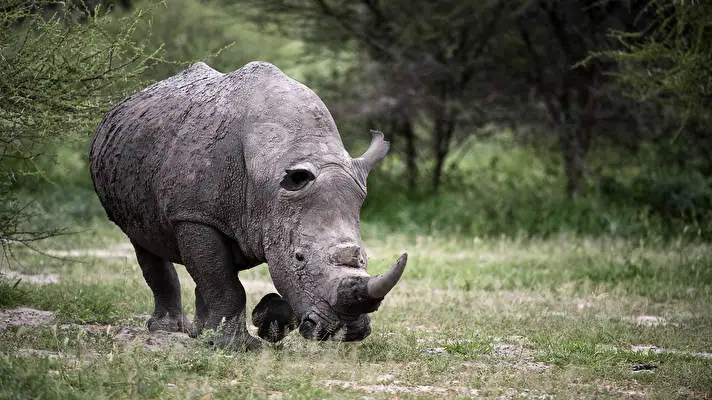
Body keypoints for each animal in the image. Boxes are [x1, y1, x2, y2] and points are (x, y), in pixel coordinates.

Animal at [89, 61, 407, 350]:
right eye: (299, 257)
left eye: (363, 258)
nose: (346, 332)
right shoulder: (194, 215)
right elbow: (226, 283)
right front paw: (237, 346)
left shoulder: (275, 216)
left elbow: (247, 278)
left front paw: (265, 319)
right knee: (146, 243)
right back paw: (169, 331)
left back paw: (200, 334)